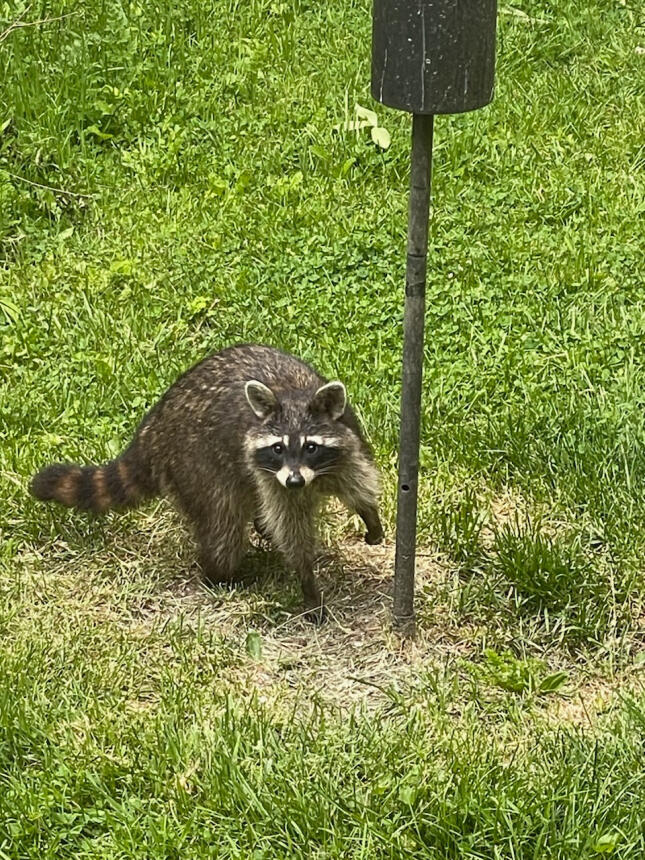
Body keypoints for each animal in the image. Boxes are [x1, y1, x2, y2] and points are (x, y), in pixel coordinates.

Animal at [30, 344, 384, 621]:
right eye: (278, 448)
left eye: (310, 447)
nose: (295, 481)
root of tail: (154, 426)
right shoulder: (272, 475)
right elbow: (291, 528)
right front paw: (306, 580)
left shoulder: (344, 447)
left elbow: (358, 483)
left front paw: (371, 517)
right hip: (197, 463)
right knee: (221, 525)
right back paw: (221, 575)